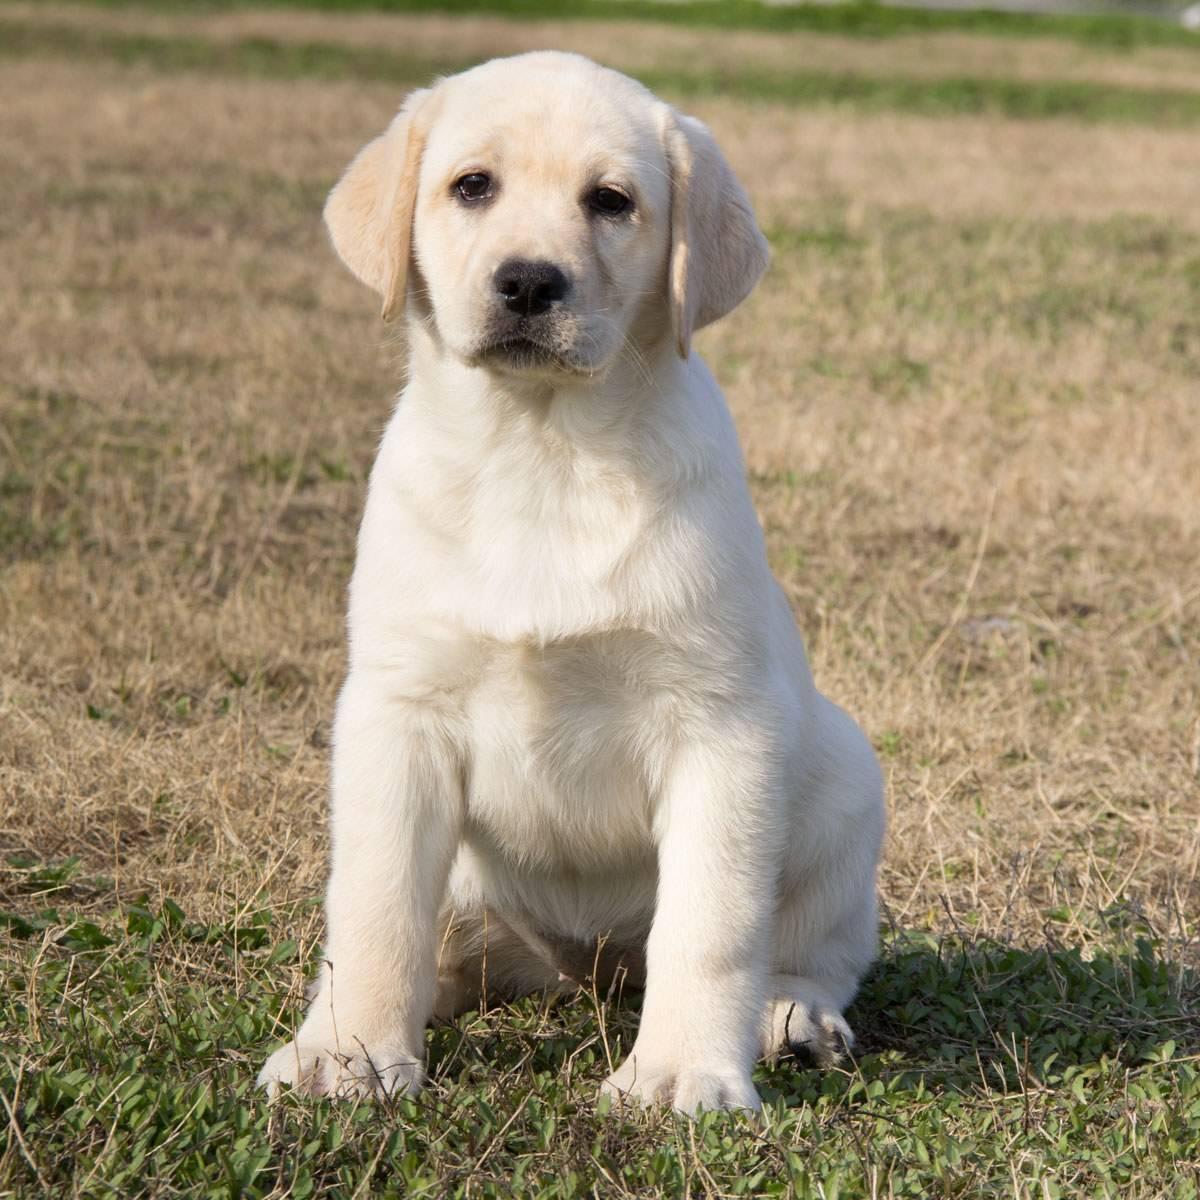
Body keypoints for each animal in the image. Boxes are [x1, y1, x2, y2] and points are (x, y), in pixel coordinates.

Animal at [260, 46, 883, 1113]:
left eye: (611, 201)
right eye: (472, 186)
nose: (526, 282)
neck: (543, 451)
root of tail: (581, 969)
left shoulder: (721, 727)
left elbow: (711, 923)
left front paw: (679, 1070)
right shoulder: (397, 713)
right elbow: (375, 906)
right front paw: (347, 1051)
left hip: (847, 783)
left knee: (809, 949)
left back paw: (789, 1016)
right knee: (445, 947)